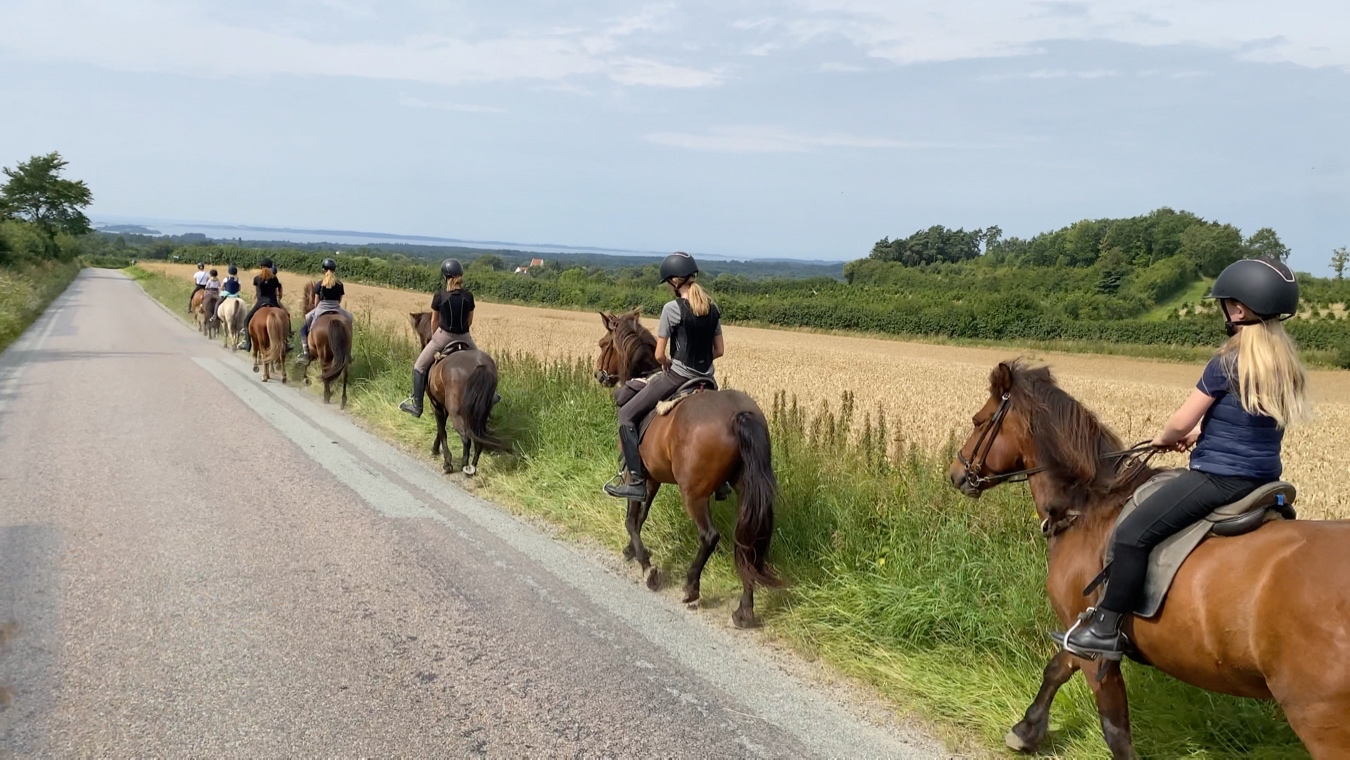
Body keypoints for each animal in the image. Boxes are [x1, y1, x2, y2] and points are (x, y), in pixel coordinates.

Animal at [407, 310, 504, 475]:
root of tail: (481, 366)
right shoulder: (442, 406)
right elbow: (441, 430)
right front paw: (436, 450)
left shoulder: (436, 405)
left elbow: (442, 430)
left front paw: (445, 460)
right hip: (481, 413)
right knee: (478, 437)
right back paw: (473, 466)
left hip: (457, 412)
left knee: (466, 437)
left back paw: (463, 466)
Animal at [599, 309, 783, 631]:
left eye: (602, 344)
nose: (599, 374)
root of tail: (739, 414)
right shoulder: (653, 478)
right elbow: (641, 516)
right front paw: (632, 552)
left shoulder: (639, 476)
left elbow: (632, 518)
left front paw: (646, 565)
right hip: (745, 490)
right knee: (747, 545)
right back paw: (744, 611)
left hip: (694, 494)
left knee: (710, 536)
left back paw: (691, 587)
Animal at [950, 361, 1350, 760]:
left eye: (979, 421)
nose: (957, 474)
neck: (1088, 507)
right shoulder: (1078, 633)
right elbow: (1057, 670)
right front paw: (1027, 729)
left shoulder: (1093, 647)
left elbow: (1114, 726)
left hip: (1320, 720)